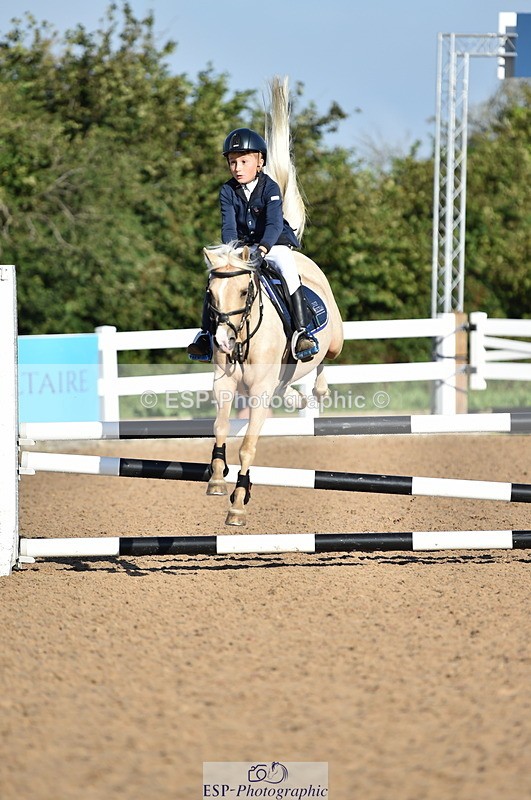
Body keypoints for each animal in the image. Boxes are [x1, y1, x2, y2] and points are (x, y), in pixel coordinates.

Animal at [204, 77, 344, 526]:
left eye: (245, 292)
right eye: (211, 294)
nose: (224, 341)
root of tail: (297, 250)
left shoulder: (260, 391)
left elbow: (248, 445)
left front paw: (238, 501)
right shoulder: (225, 382)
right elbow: (220, 428)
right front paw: (216, 479)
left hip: (332, 342)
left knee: (323, 363)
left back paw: (316, 391)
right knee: (293, 386)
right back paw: (298, 396)